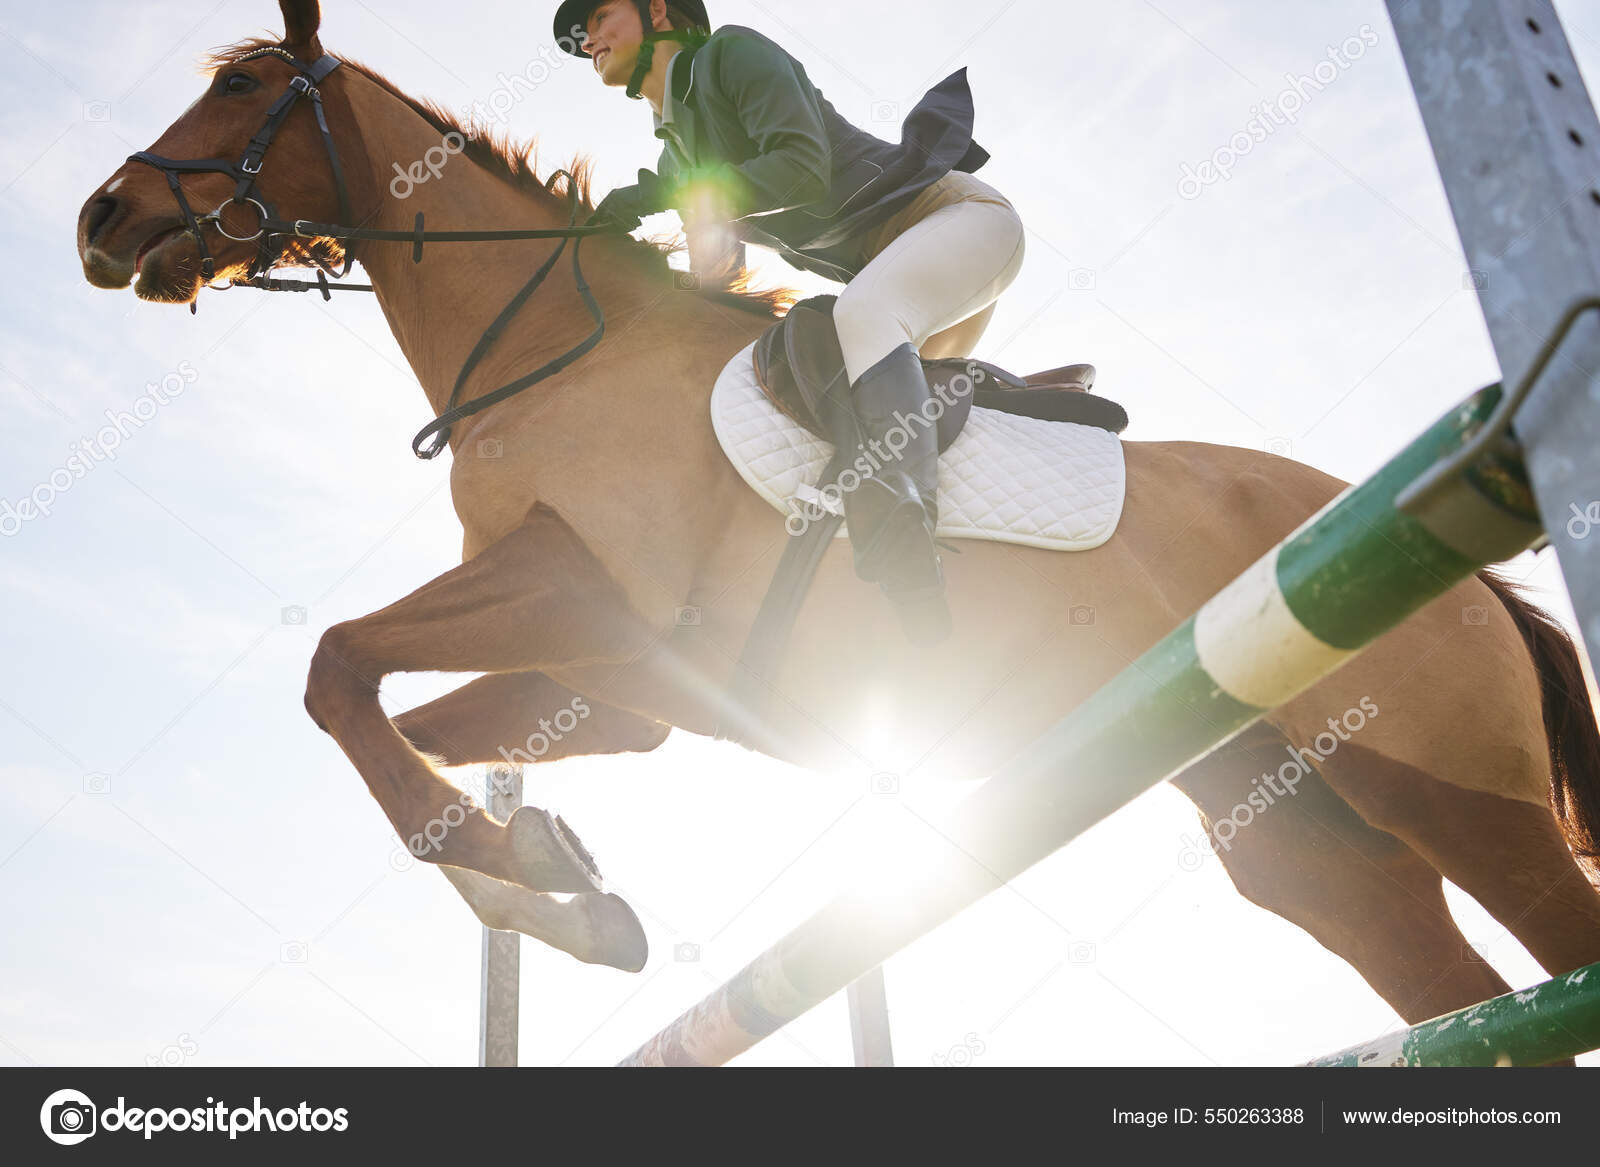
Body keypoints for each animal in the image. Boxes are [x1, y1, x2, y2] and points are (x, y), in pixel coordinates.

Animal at [72, 0, 1600, 1037]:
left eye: (249, 84)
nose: (100, 219)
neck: (554, 351)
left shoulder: (580, 595)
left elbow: (336, 666)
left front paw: (536, 878)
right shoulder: (604, 684)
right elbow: (407, 736)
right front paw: (560, 883)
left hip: (1446, 777)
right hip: (1301, 830)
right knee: (1442, 976)